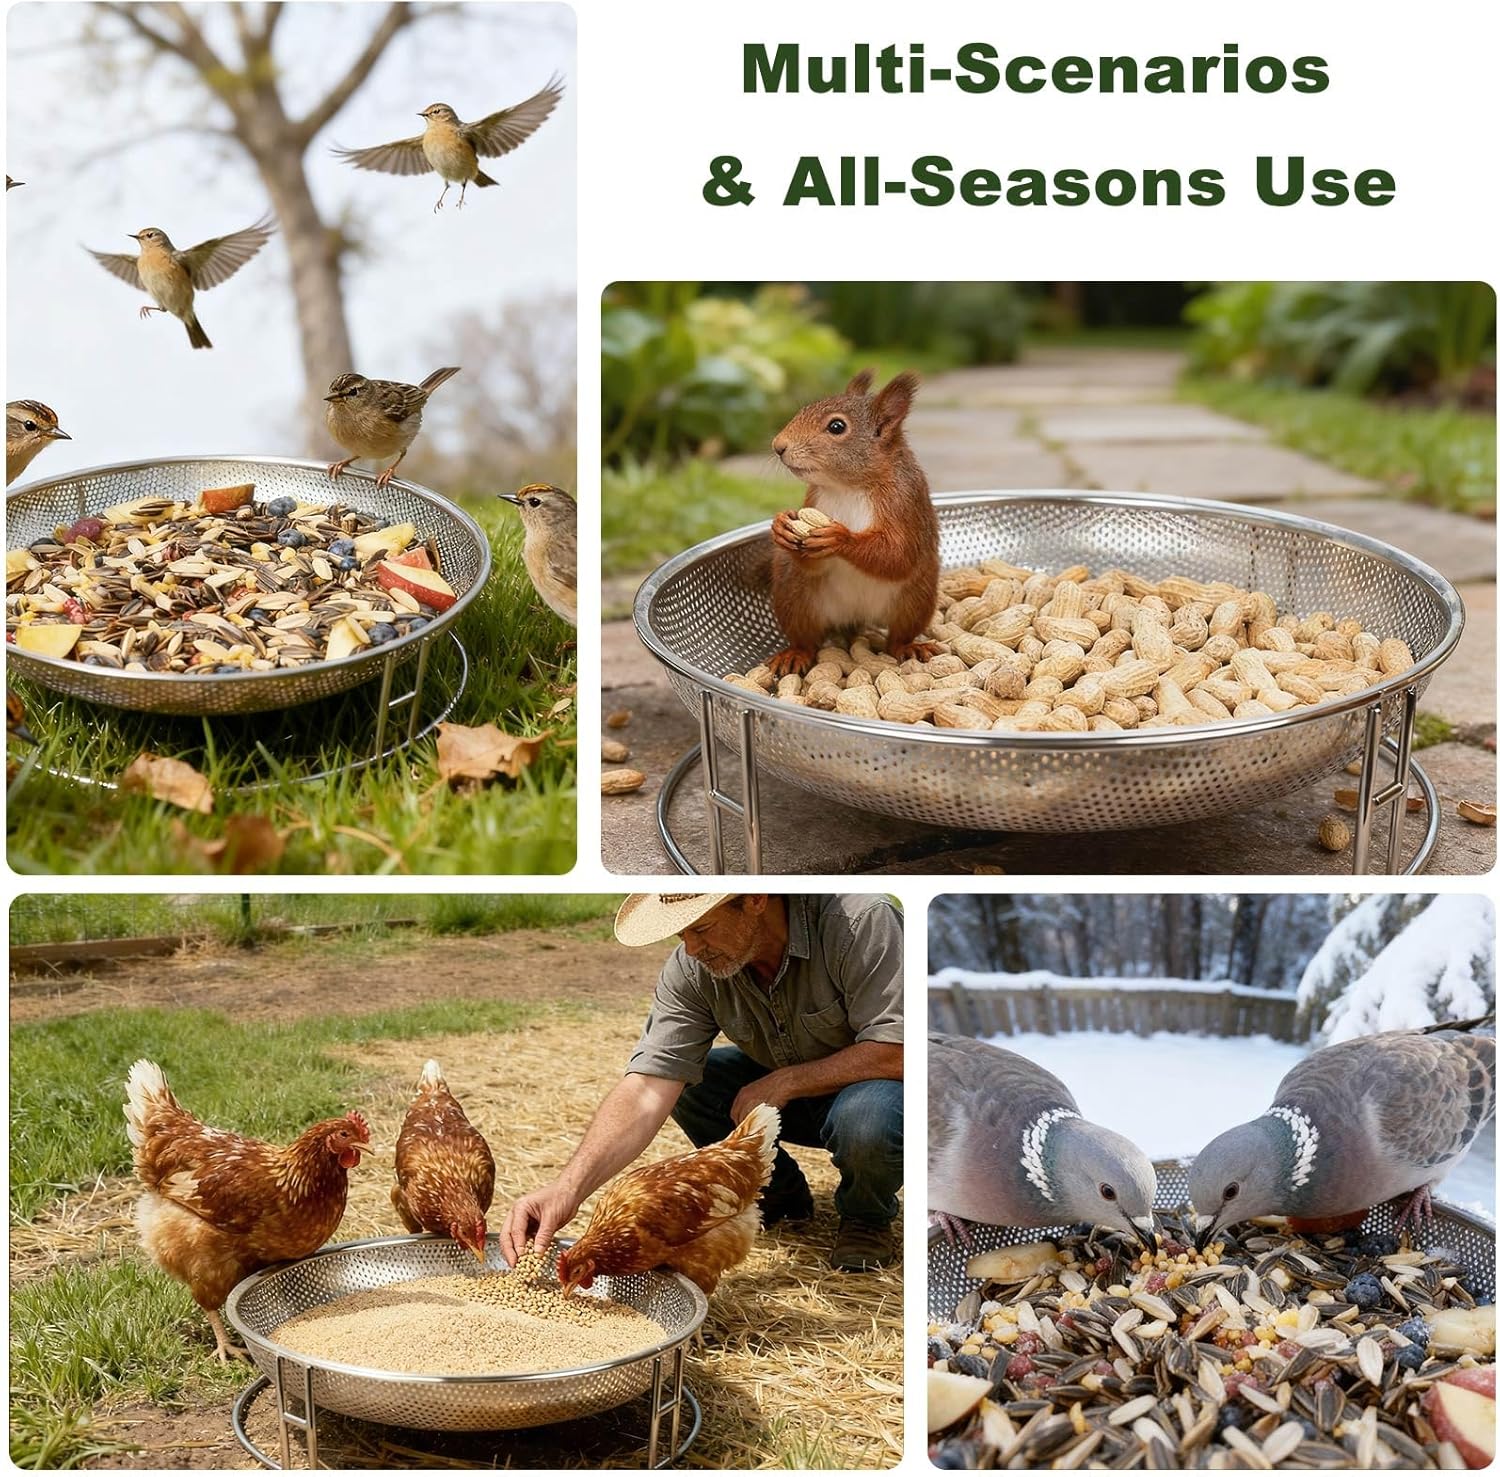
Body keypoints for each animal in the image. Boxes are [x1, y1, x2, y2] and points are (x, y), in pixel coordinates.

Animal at [766, 369, 941, 677]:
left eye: (837, 427)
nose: (778, 446)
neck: (847, 487)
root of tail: (856, 616)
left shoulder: (904, 503)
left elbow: (898, 555)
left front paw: (840, 538)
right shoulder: (813, 499)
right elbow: (812, 561)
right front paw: (781, 527)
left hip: (915, 599)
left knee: (898, 638)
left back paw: (908, 646)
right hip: (796, 597)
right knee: (806, 639)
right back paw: (796, 653)